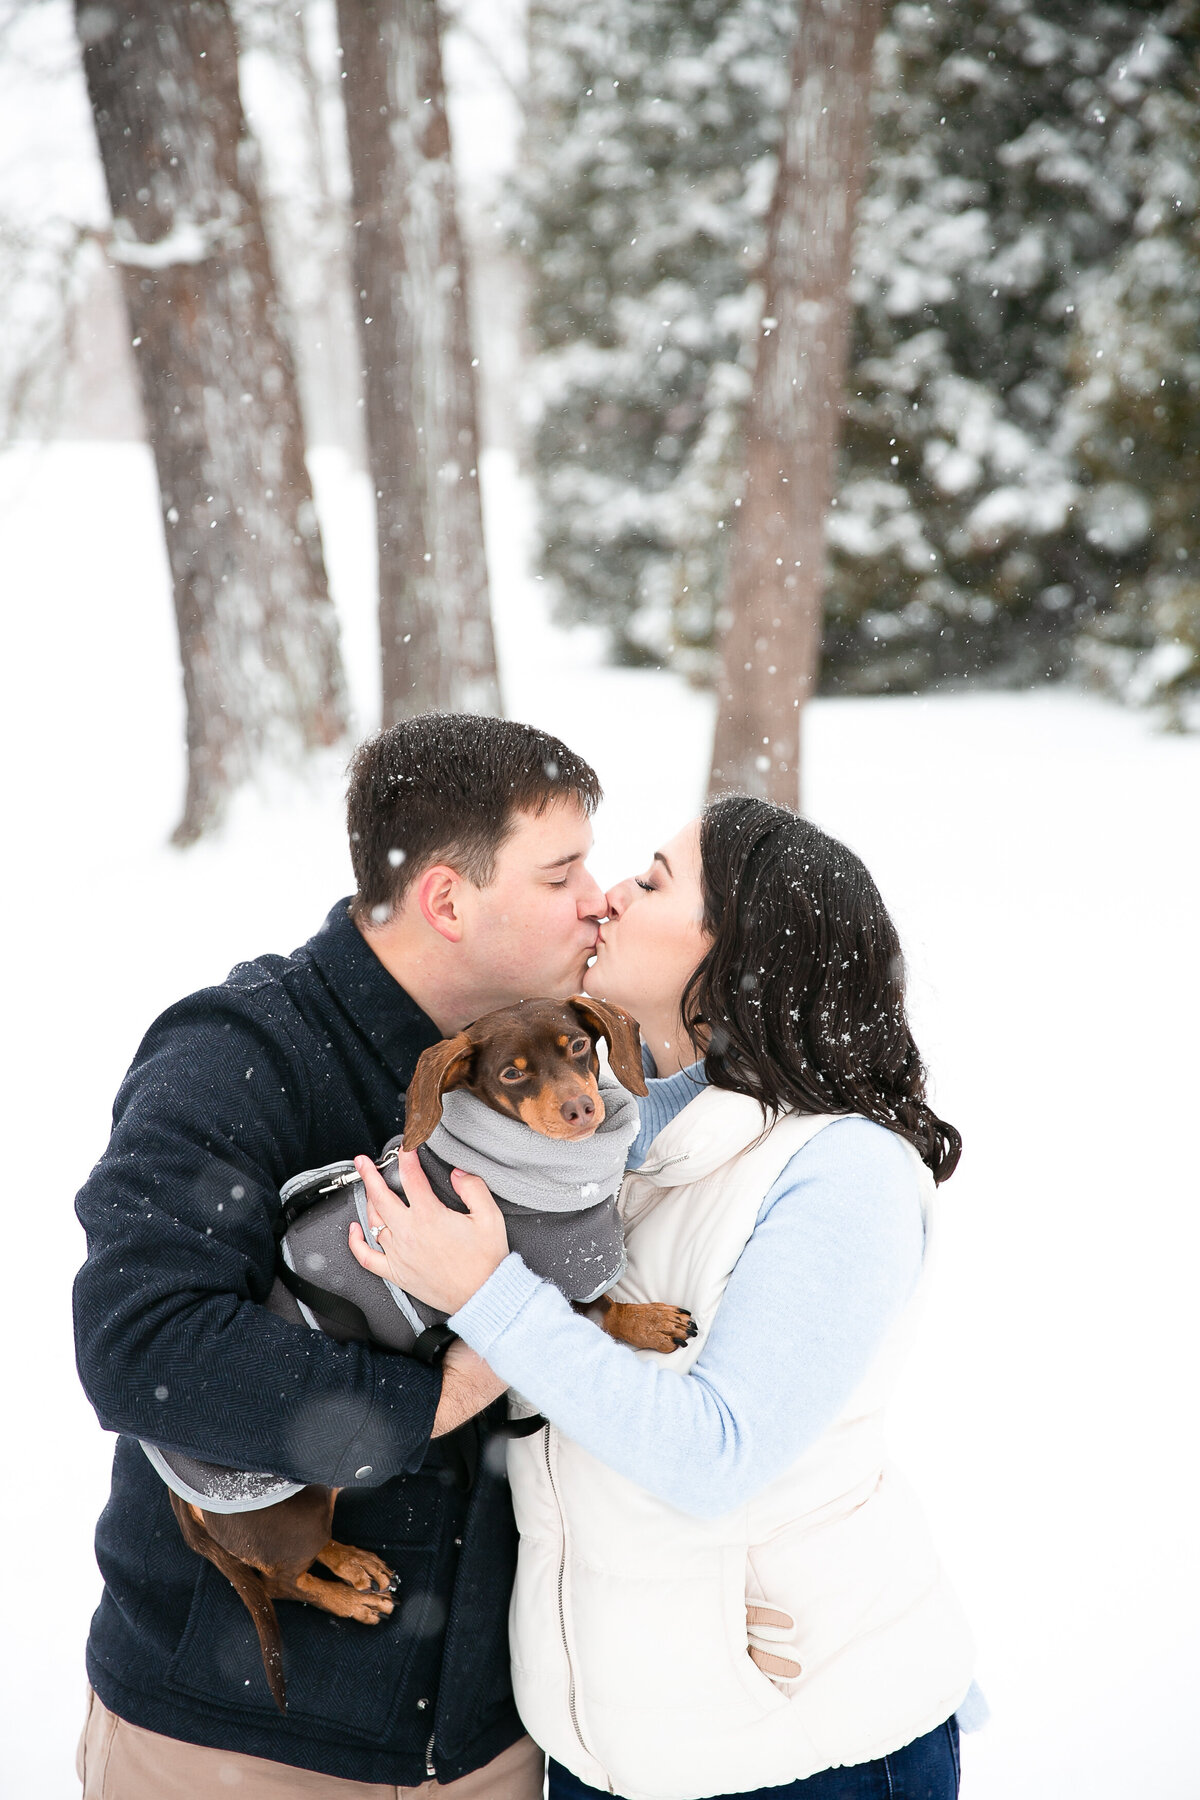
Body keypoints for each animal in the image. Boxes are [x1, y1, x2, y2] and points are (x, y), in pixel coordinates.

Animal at [166, 1000, 694, 1713]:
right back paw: (350, 1600)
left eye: (579, 1046)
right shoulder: (553, 1278)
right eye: (511, 1074)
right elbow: (601, 1311)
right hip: (287, 1511)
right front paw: (650, 1322)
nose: (581, 1108)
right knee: (280, 1580)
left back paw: (354, 1563)